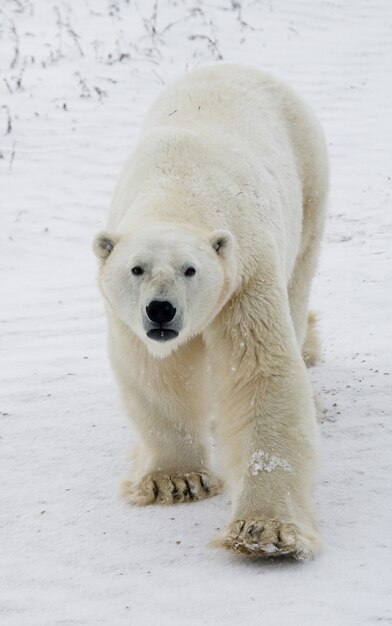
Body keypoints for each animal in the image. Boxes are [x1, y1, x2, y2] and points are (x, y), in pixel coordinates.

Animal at [94, 66, 328, 560]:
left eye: (191, 269)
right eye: (136, 268)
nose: (161, 310)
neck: (179, 189)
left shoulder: (244, 277)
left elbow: (262, 373)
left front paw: (264, 531)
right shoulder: (129, 321)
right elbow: (154, 373)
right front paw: (176, 481)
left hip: (310, 186)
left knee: (299, 286)